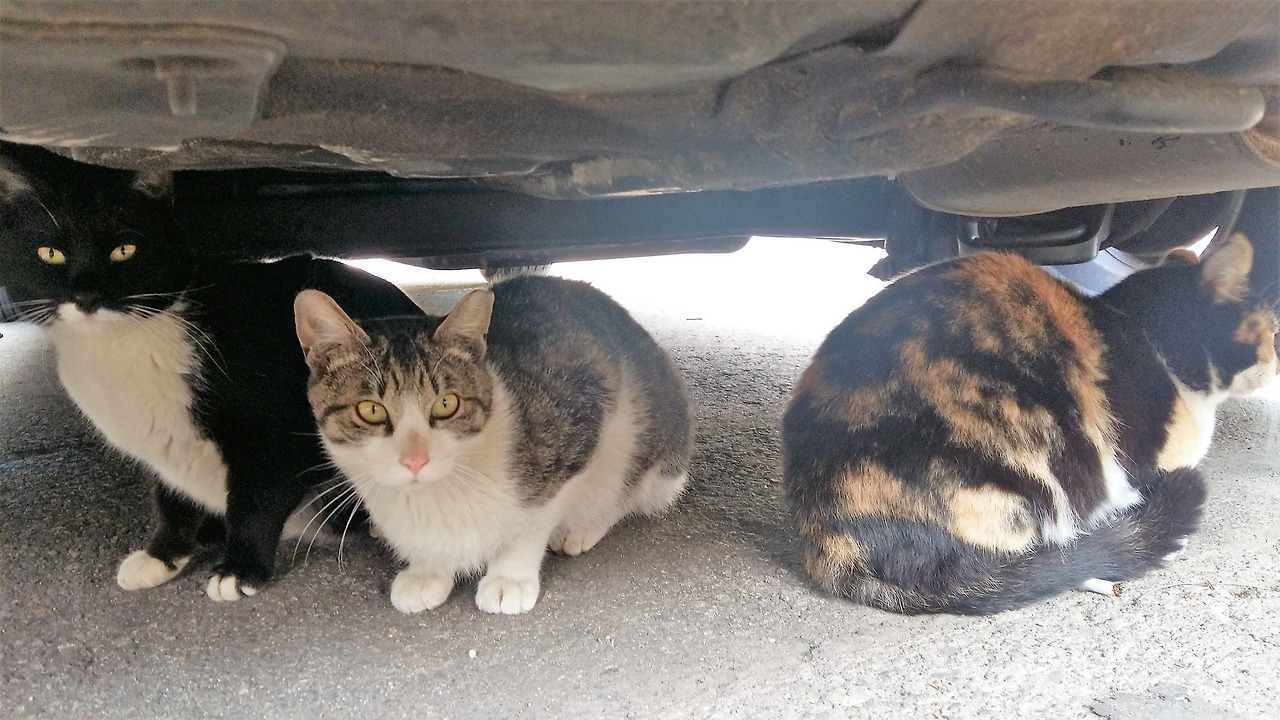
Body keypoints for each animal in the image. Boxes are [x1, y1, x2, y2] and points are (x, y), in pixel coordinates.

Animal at [0, 143, 423, 600]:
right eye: (49, 253)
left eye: (124, 250)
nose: (86, 295)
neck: (118, 347)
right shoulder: (165, 444)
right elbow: (170, 499)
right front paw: (163, 554)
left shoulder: (274, 430)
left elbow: (257, 500)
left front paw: (241, 567)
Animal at [294, 274, 695, 614]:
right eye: (371, 410)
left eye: (446, 403)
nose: (415, 460)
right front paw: (427, 571)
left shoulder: (577, 429)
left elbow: (534, 520)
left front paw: (509, 577)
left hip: (650, 440)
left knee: (629, 491)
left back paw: (583, 527)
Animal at [782, 233, 1277, 614]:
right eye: (1272, 331)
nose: (1276, 361)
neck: (1149, 334)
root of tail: (824, 535)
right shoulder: (1135, 470)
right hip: (1024, 468)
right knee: (1025, 565)